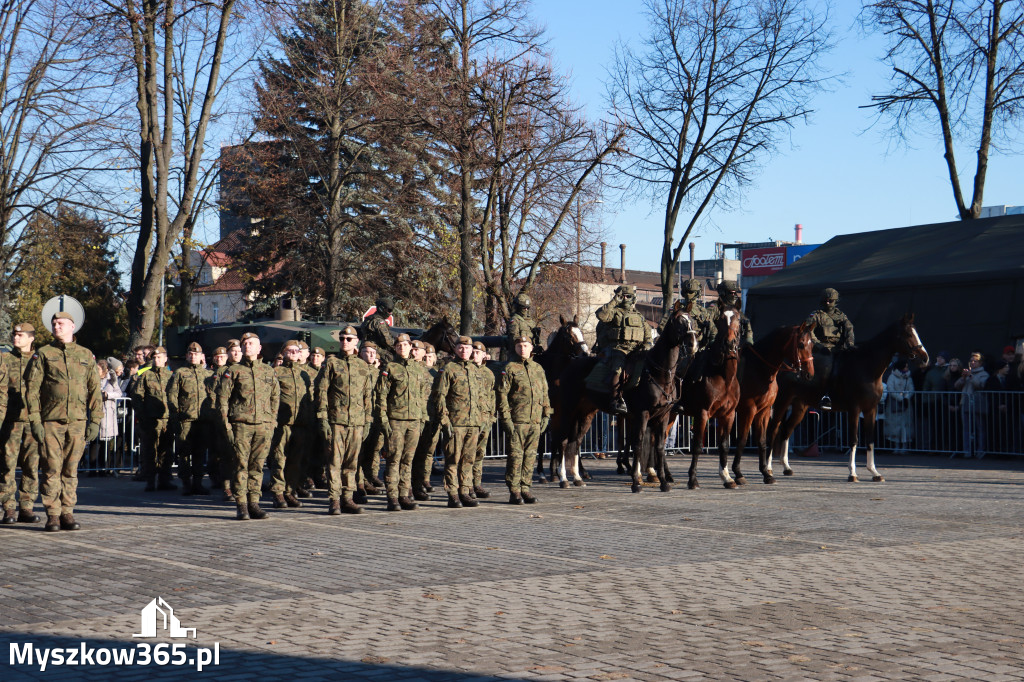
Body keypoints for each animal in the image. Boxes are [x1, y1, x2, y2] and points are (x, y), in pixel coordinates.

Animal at [675, 303, 741, 489]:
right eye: (720, 319)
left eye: (738, 319)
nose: (729, 343)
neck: (724, 377)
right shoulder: (702, 414)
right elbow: (697, 446)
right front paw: (692, 479)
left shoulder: (728, 415)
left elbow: (724, 445)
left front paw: (727, 477)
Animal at [729, 323, 815, 483]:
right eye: (801, 344)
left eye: (812, 344)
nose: (809, 374)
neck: (759, 369)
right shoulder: (748, 410)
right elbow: (742, 439)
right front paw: (738, 473)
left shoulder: (764, 410)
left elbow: (762, 440)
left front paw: (765, 473)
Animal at [770, 311, 929, 481]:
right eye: (908, 334)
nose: (925, 358)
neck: (866, 367)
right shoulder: (854, 409)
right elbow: (854, 439)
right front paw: (852, 473)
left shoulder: (870, 410)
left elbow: (870, 440)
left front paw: (874, 472)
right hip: (781, 403)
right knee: (773, 429)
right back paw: (769, 467)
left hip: (800, 407)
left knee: (786, 430)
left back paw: (786, 467)